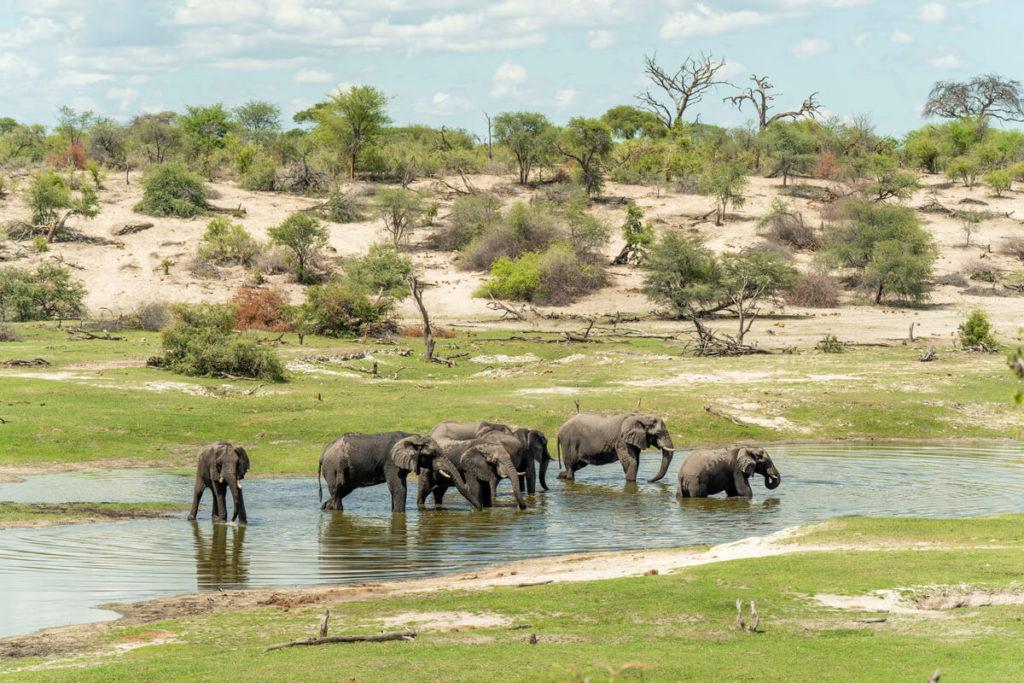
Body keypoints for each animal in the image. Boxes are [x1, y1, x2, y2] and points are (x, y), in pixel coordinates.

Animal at [317, 432, 478, 512]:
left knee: (342, 490)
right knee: (338, 490)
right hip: (334, 467)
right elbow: (399, 489)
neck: (413, 437)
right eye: (432, 454)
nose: (479, 510)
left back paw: (325, 508)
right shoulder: (391, 462)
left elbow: (399, 488)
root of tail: (323, 453)